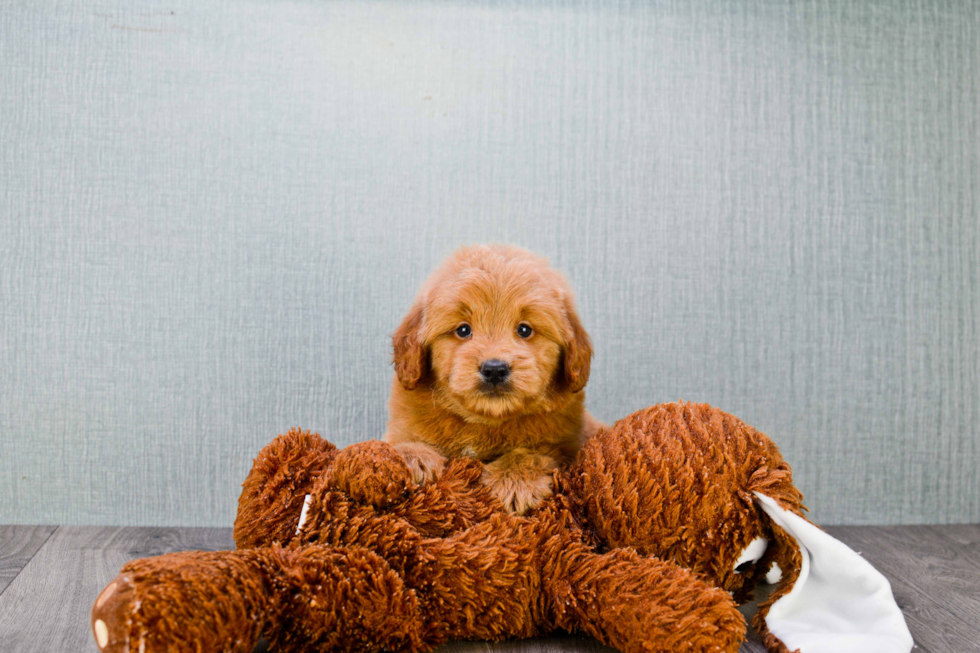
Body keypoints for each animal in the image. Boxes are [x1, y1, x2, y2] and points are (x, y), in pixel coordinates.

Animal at [384, 244, 604, 516]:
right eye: (463, 330)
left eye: (524, 330)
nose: (495, 369)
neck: (486, 421)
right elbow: (402, 441)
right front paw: (414, 458)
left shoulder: (566, 444)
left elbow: (534, 451)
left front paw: (515, 480)